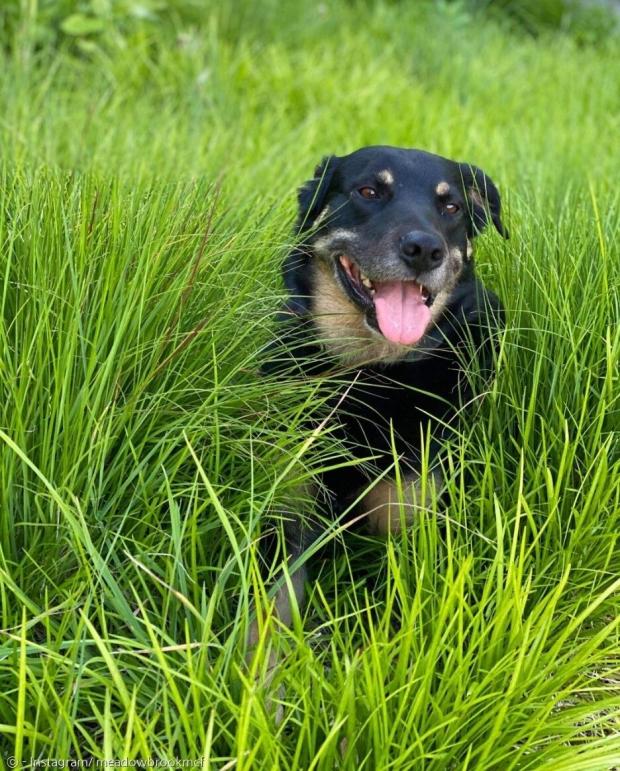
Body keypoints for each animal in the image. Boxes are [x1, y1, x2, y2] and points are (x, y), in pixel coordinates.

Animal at [254, 146, 506, 644]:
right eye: (369, 191)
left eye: (451, 207)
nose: (424, 249)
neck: (370, 373)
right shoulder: (290, 506)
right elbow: (269, 614)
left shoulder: (410, 513)